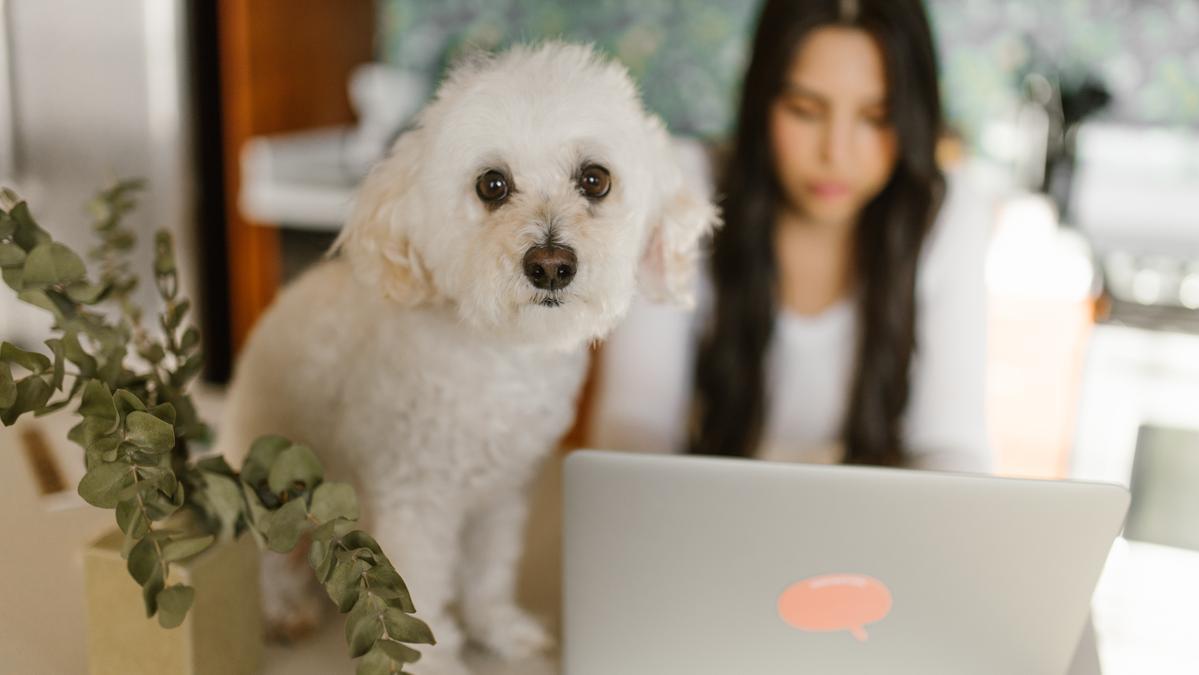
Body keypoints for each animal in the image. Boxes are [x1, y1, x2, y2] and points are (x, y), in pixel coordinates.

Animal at [220, 43, 714, 675]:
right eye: (492, 184)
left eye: (595, 179)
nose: (550, 265)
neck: (500, 360)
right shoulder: (416, 504)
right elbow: (424, 595)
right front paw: (438, 663)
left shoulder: (500, 496)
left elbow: (487, 576)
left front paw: (499, 630)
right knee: (267, 564)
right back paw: (283, 609)